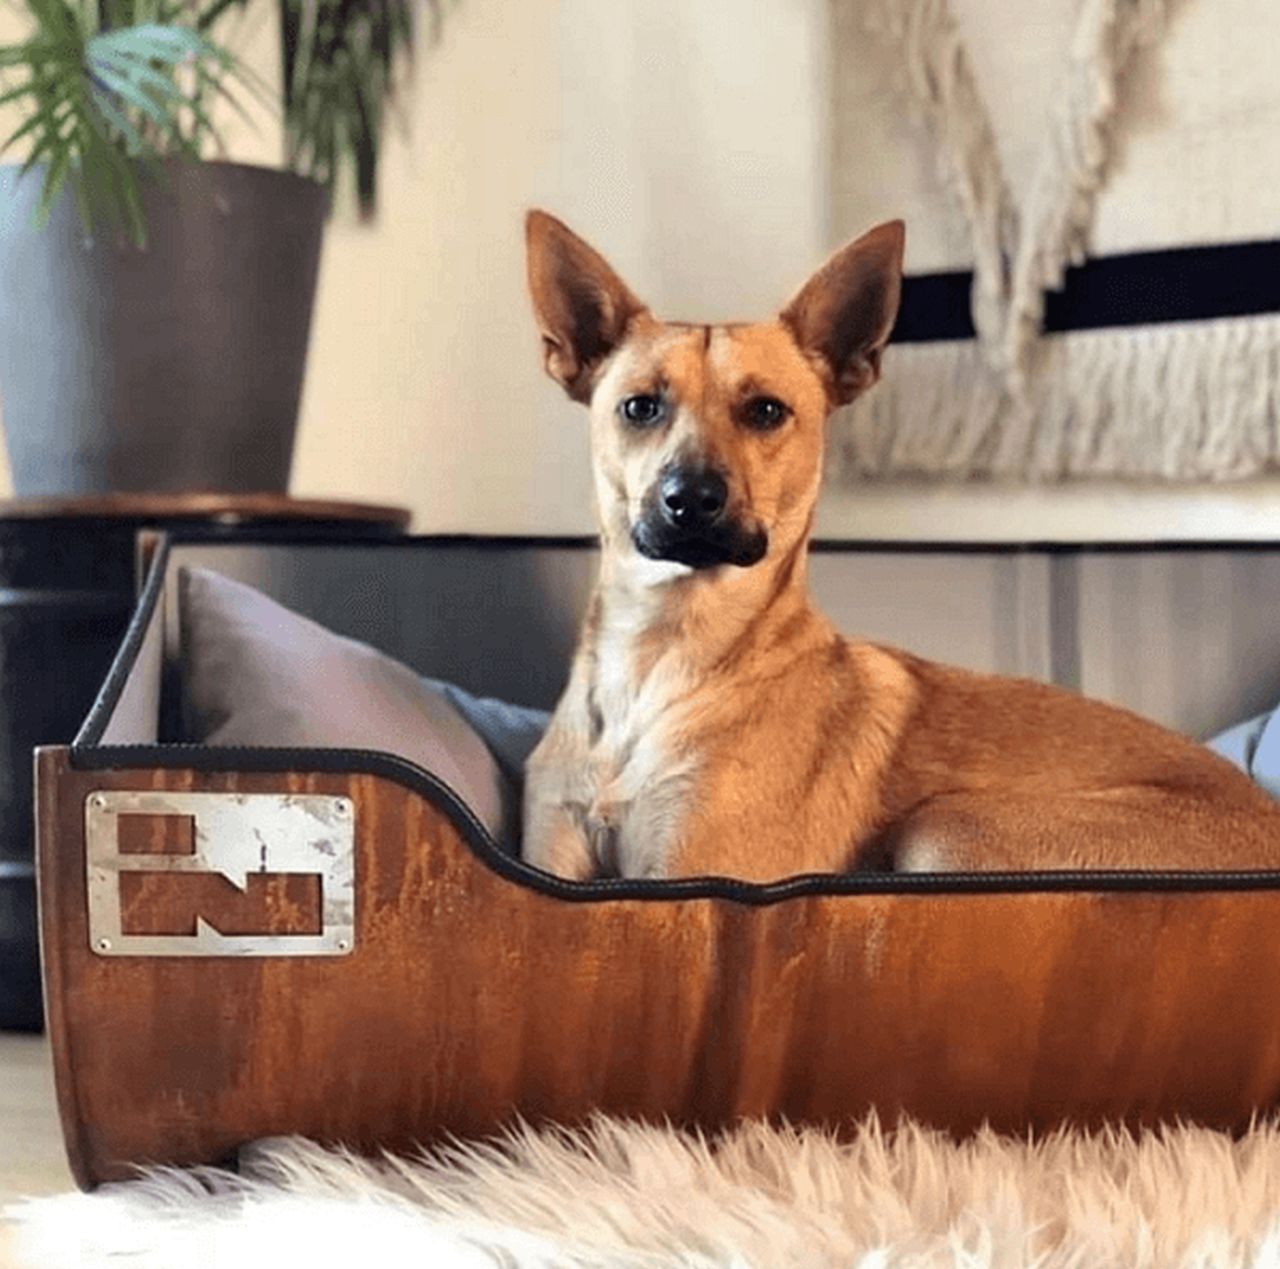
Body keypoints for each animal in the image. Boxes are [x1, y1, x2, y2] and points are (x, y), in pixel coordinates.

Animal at [517, 211, 1280, 881]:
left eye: (766, 410)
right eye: (640, 407)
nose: (692, 499)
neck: (664, 651)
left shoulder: (689, 877)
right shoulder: (554, 858)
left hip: (946, 827)